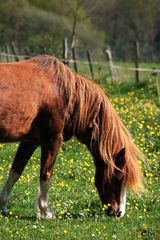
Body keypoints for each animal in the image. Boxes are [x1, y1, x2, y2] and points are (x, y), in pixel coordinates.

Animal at [0, 55, 142, 219]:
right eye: (118, 178)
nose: (119, 213)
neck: (66, 93)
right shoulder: (53, 140)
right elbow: (46, 175)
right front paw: (46, 212)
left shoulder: (29, 141)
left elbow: (15, 171)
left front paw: (3, 206)